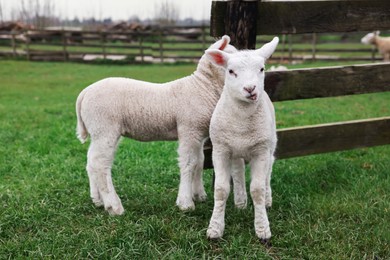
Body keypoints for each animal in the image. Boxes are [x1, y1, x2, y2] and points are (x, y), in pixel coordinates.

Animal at [74, 36, 236, 215]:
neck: (202, 87)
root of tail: (85, 93)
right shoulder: (189, 129)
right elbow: (189, 162)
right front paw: (185, 203)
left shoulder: (198, 134)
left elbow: (200, 161)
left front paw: (199, 194)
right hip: (104, 128)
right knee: (100, 164)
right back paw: (114, 206)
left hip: (98, 130)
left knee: (91, 162)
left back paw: (97, 200)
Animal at [206, 36, 278, 242]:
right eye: (231, 71)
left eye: (262, 69)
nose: (250, 89)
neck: (242, 122)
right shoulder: (220, 149)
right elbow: (221, 189)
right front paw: (215, 228)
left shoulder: (261, 150)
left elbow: (258, 190)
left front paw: (262, 229)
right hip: (235, 150)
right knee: (237, 171)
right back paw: (240, 202)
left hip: (270, 144)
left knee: (268, 171)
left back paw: (267, 200)